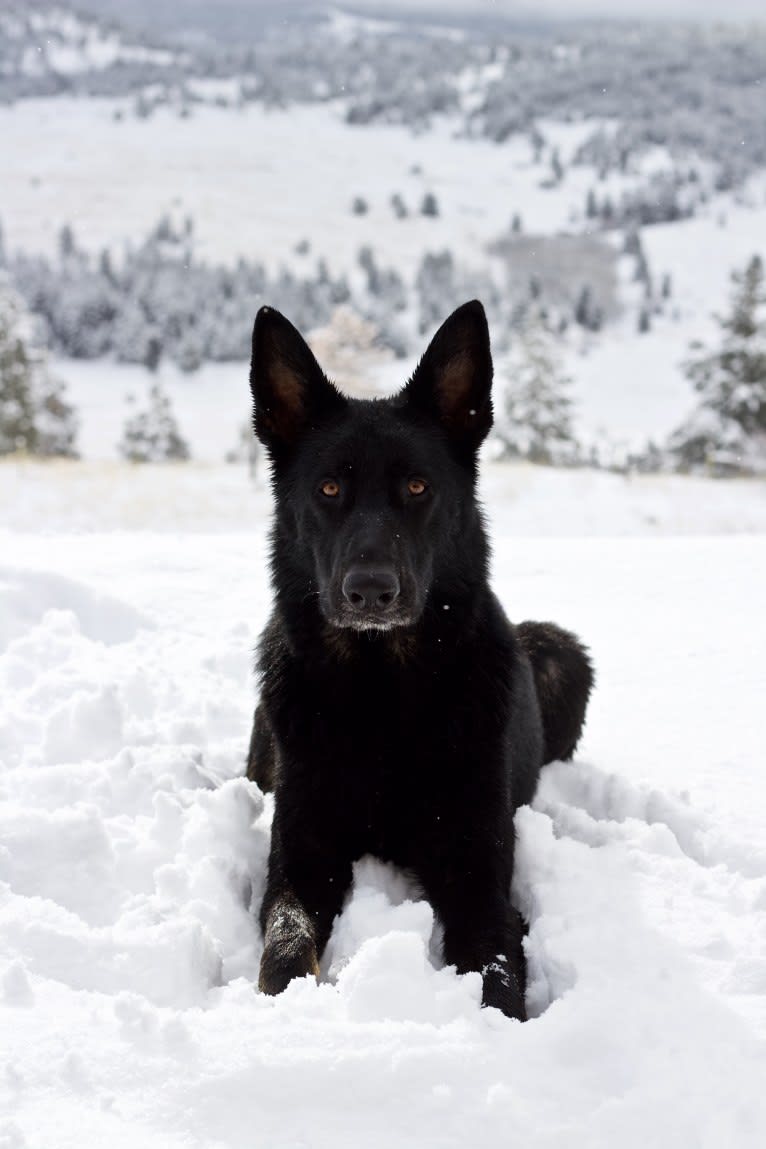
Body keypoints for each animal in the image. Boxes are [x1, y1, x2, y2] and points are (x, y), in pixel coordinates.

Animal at [245, 301, 592, 1020]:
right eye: (328, 488)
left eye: (417, 485)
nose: (371, 590)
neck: (381, 693)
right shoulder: (301, 855)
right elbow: (286, 943)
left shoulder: (477, 872)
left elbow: (494, 968)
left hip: (559, 650)